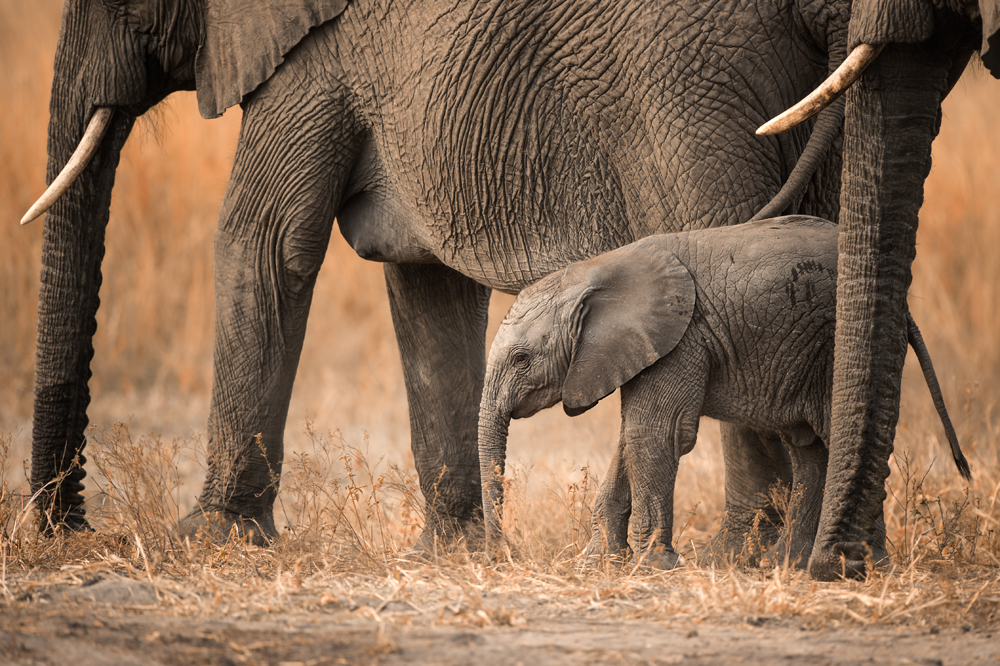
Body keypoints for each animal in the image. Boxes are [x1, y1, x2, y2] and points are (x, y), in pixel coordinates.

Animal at [27, 1, 848, 548]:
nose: (68, 528)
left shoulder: (313, 53)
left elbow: (261, 242)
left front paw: (204, 540)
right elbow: (425, 282)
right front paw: (457, 552)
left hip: (691, 89)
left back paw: (742, 553)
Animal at [476, 215, 968, 568]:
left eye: (522, 359)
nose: (501, 557)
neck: (595, 271)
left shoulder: (683, 338)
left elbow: (656, 434)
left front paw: (654, 566)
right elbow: (631, 436)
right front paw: (598, 562)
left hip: (833, 346)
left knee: (837, 437)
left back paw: (861, 564)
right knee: (810, 450)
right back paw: (785, 564)